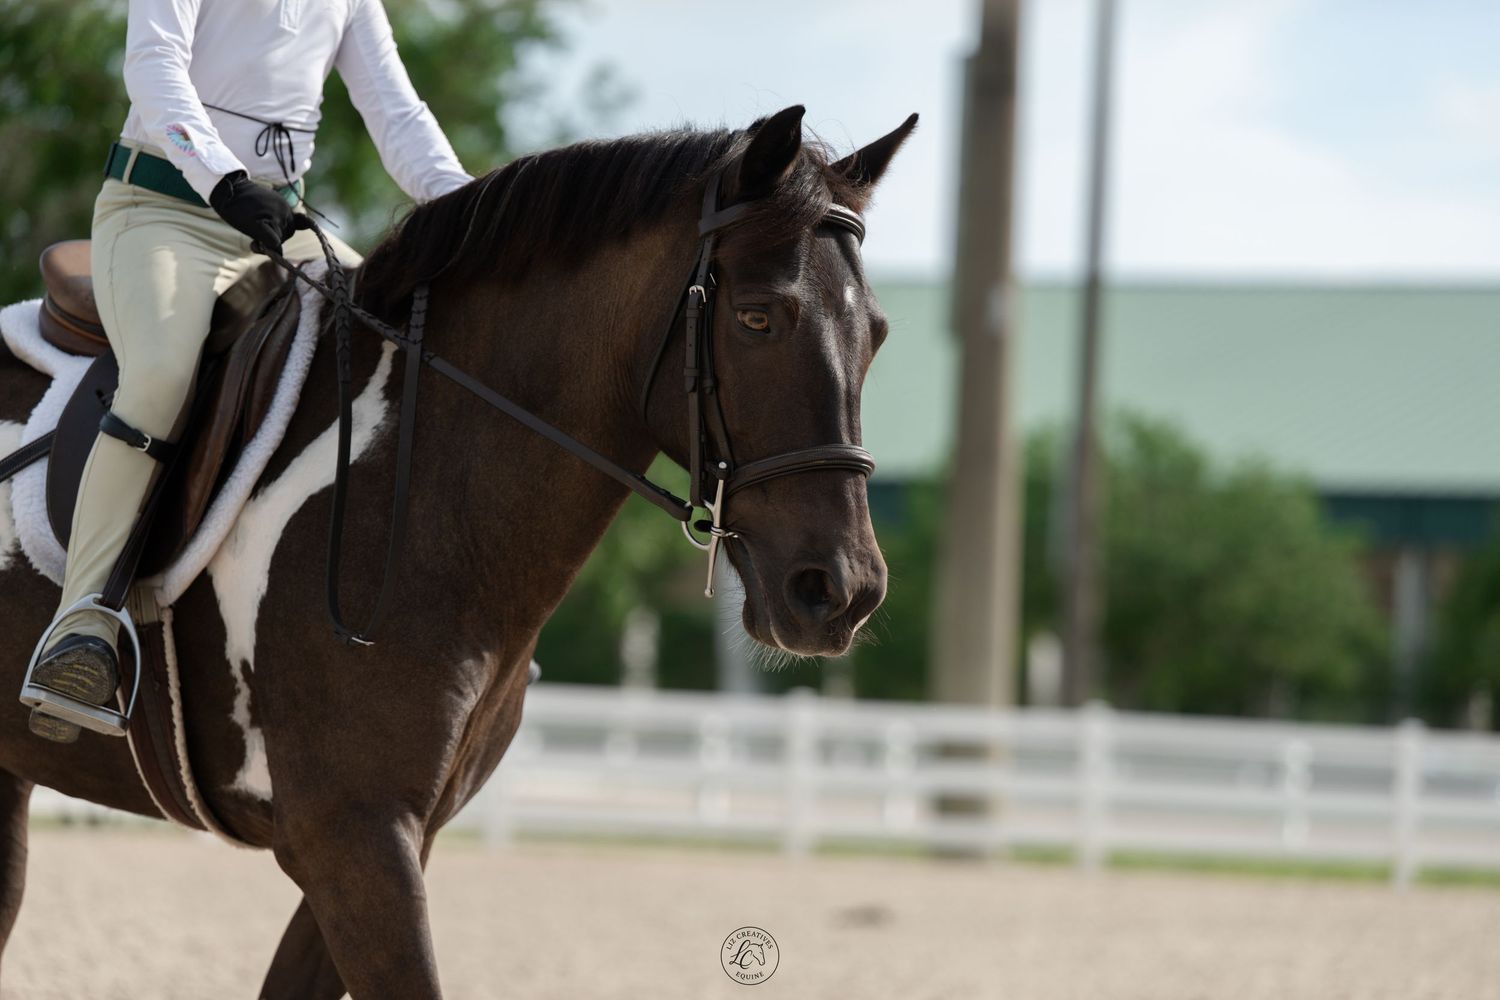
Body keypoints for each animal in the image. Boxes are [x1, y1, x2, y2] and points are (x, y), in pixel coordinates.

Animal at [0, 104, 913, 997]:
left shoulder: (389, 839)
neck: (427, 505)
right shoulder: (352, 839)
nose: (842, 592)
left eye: (876, 334)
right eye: (758, 317)